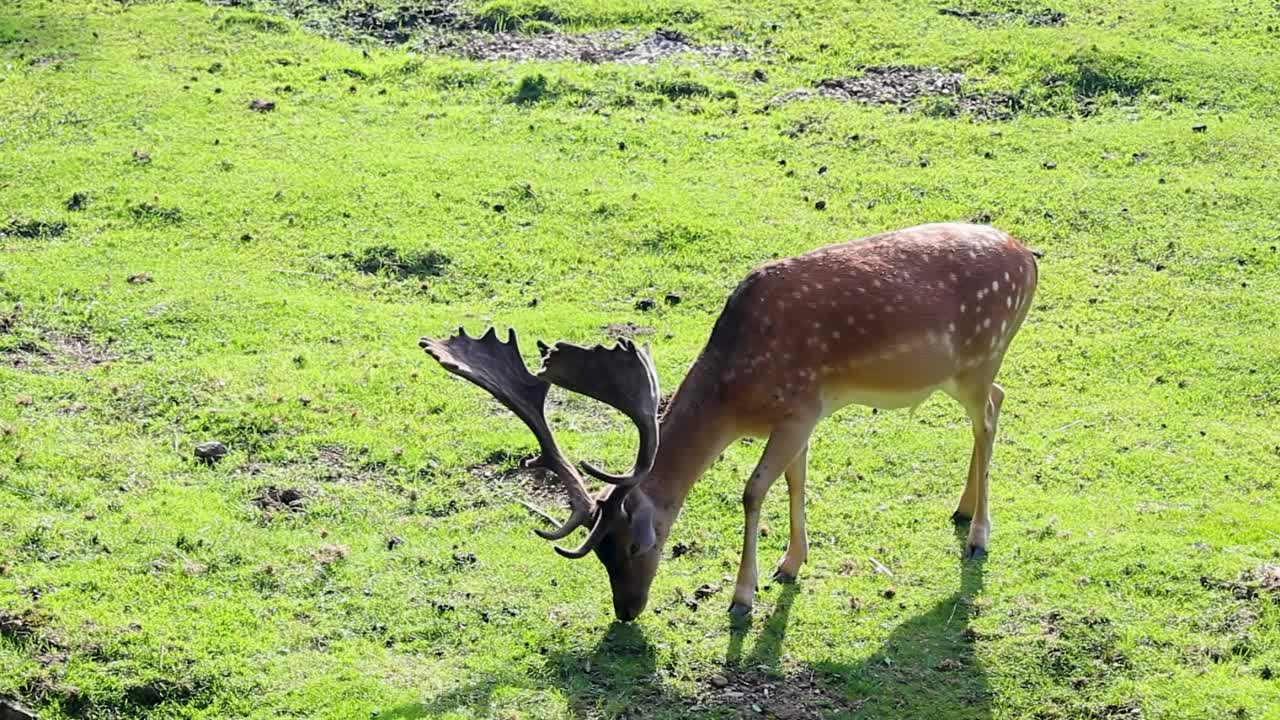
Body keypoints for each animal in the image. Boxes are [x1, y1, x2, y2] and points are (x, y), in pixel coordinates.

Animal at [422, 220, 1039, 617]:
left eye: (632, 546)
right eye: (598, 553)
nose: (627, 610)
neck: (737, 395)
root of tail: (1029, 256)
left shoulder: (799, 410)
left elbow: (753, 490)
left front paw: (742, 598)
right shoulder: (805, 416)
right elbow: (796, 480)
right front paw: (791, 564)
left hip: (981, 355)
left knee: (988, 415)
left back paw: (979, 534)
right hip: (970, 370)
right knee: (1001, 399)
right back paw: (962, 509)